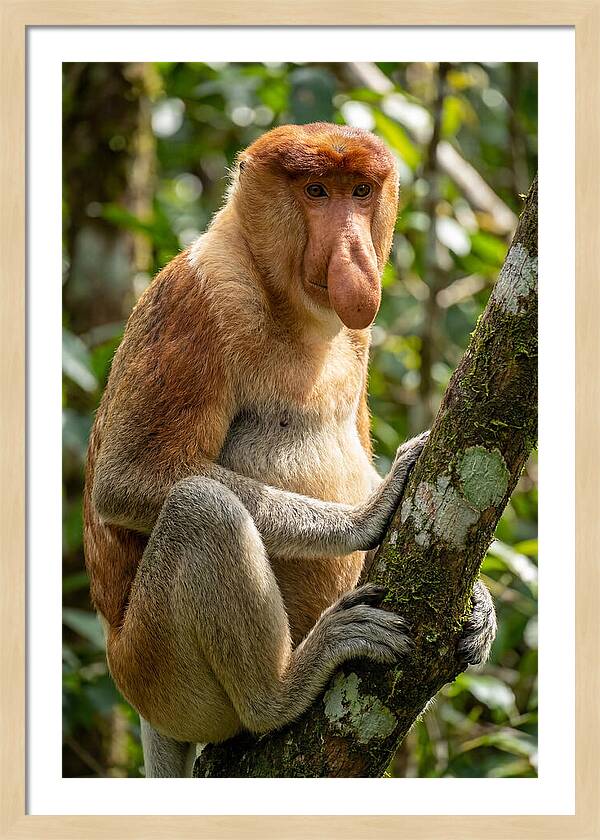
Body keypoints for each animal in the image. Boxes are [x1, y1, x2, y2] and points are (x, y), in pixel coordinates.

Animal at [83, 123, 496, 778]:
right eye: (316, 191)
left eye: (359, 191)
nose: (354, 253)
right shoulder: (198, 300)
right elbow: (128, 479)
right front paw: (367, 514)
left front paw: (480, 604)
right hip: (155, 672)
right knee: (202, 509)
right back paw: (282, 689)